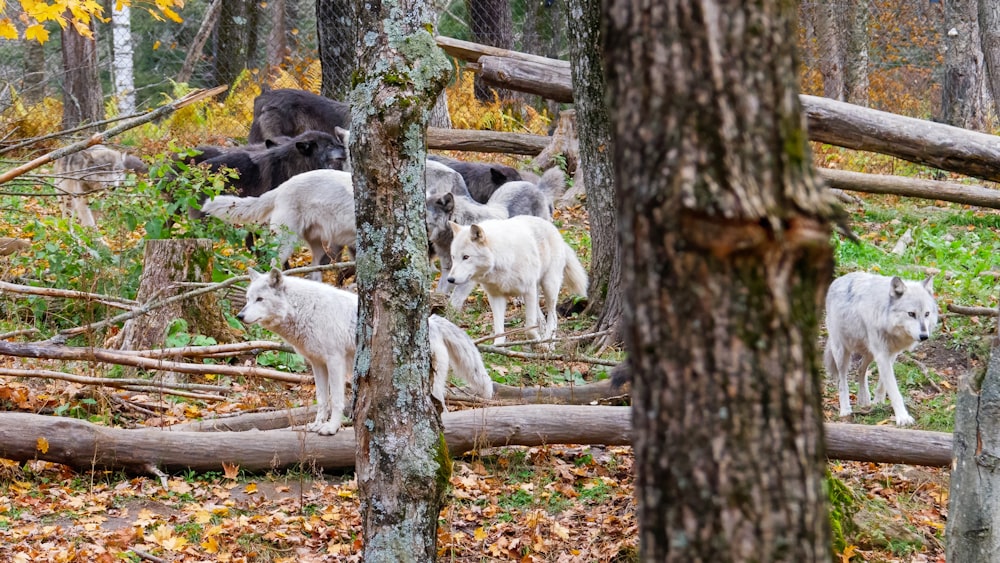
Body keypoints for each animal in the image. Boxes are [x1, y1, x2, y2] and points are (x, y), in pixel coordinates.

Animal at [238, 268, 496, 436]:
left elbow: (337, 400)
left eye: (260, 299)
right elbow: (322, 400)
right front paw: (316, 425)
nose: (240, 316)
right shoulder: (317, 364)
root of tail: (432, 321)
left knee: (443, 408)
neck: (304, 308)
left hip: (431, 384)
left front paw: (331, 428)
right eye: (248, 299)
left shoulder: (334, 362)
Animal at [446, 217, 584, 346]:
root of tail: (554, 228)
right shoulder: (495, 296)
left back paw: (548, 342)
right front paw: (498, 348)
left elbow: (529, 328)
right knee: (541, 317)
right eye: (453, 257)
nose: (450, 279)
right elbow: (499, 330)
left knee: (553, 316)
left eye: (466, 257)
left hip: (549, 286)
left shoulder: (528, 291)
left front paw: (538, 342)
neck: (500, 259)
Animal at [820, 274, 936, 428]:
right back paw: (845, 410)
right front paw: (903, 417)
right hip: (841, 353)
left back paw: (864, 399)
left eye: (927, 314)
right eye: (911, 314)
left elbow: (883, 384)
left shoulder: (891, 354)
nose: (924, 336)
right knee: (842, 380)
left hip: (869, 353)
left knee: (861, 370)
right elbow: (893, 389)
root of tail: (838, 279)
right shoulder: (882, 356)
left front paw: (878, 402)